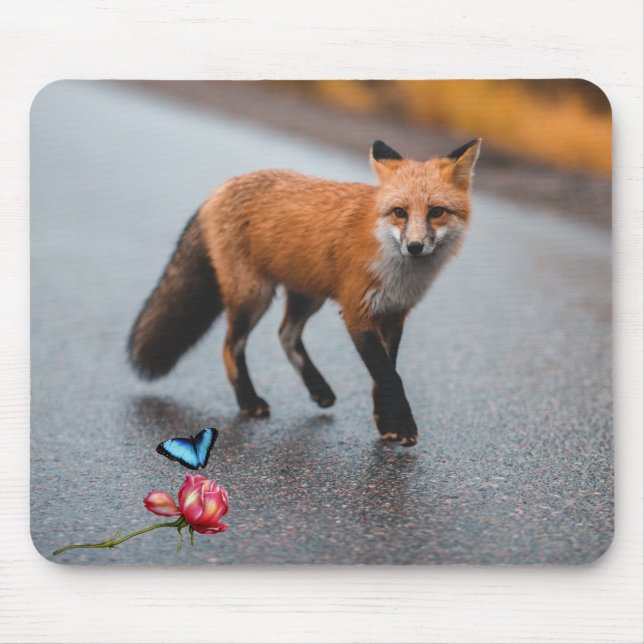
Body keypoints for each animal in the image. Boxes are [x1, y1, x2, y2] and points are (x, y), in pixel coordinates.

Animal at [128, 138, 481, 446]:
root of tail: (221, 188)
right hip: (253, 296)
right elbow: (389, 376)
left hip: (308, 296)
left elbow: (384, 374)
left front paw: (386, 423)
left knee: (286, 335)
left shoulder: (393, 314)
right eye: (400, 212)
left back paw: (318, 388)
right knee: (231, 346)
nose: (415, 246)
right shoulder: (356, 312)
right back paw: (249, 401)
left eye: (436, 212)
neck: (395, 267)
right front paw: (403, 426)